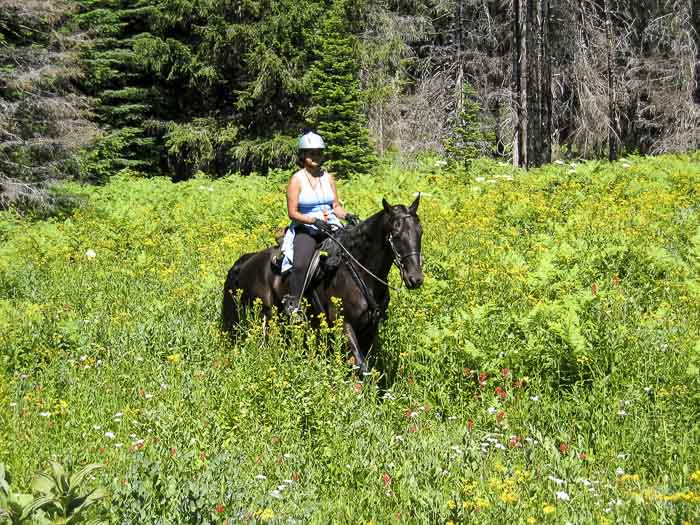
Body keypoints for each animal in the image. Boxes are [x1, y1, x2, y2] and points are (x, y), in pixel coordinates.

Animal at [221, 196, 424, 372]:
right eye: (395, 233)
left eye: (420, 231)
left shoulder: (370, 328)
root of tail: (247, 261)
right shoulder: (344, 325)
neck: (360, 272)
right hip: (265, 315)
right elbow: (361, 366)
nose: (415, 278)